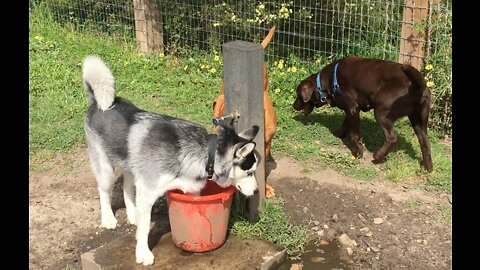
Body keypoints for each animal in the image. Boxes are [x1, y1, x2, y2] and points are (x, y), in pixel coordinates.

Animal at [81, 56, 258, 264]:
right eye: (249, 172)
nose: (257, 191)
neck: (206, 151)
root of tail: (98, 103)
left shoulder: (191, 189)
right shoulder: (147, 192)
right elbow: (144, 228)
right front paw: (143, 253)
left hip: (132, 168)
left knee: (127, 187)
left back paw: (132, 215)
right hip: (106, 170)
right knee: (104, 191)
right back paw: (108, 218)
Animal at [292, 56, 436, 172]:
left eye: (298, 95)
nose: (293, 106)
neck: (328, 81)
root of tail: (417, 86)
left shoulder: (352, 108)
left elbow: (355, 135)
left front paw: (358, 153)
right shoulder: (352, 109)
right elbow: (345, 124)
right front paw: (338, 134)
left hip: (381, 113)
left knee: (392, 137)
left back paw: (377, 156)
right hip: (418, 121)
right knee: (425, 143)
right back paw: (428, 168)